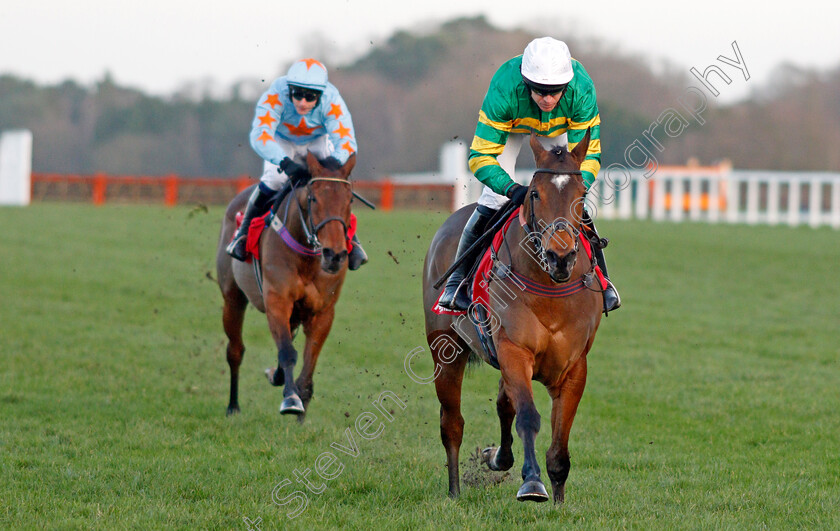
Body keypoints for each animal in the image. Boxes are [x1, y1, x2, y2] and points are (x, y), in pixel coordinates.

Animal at [215, 153, 356, 420]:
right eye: (313, 198)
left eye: (349, 199)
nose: (335, 255)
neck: (308, 257)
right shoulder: (277, 301)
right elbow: (288, 352)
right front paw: (291, 399)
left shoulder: (323, 311)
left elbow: (309, 361)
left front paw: (301, 402)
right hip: (232, 298)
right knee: (235, 350)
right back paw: (232, 405)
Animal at [424, 131, 600, 504]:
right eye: (534, 193)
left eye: (581, 196)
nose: (560, 256)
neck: (549, 289)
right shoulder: (514, 350)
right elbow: (528, 417)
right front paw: (532, 483)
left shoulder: (574, 365)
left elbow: (560, 439)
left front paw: (559, 500)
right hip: (445, 350)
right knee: (452, 423)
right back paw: (455, 491)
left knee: (504, 403)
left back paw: (497, 458)